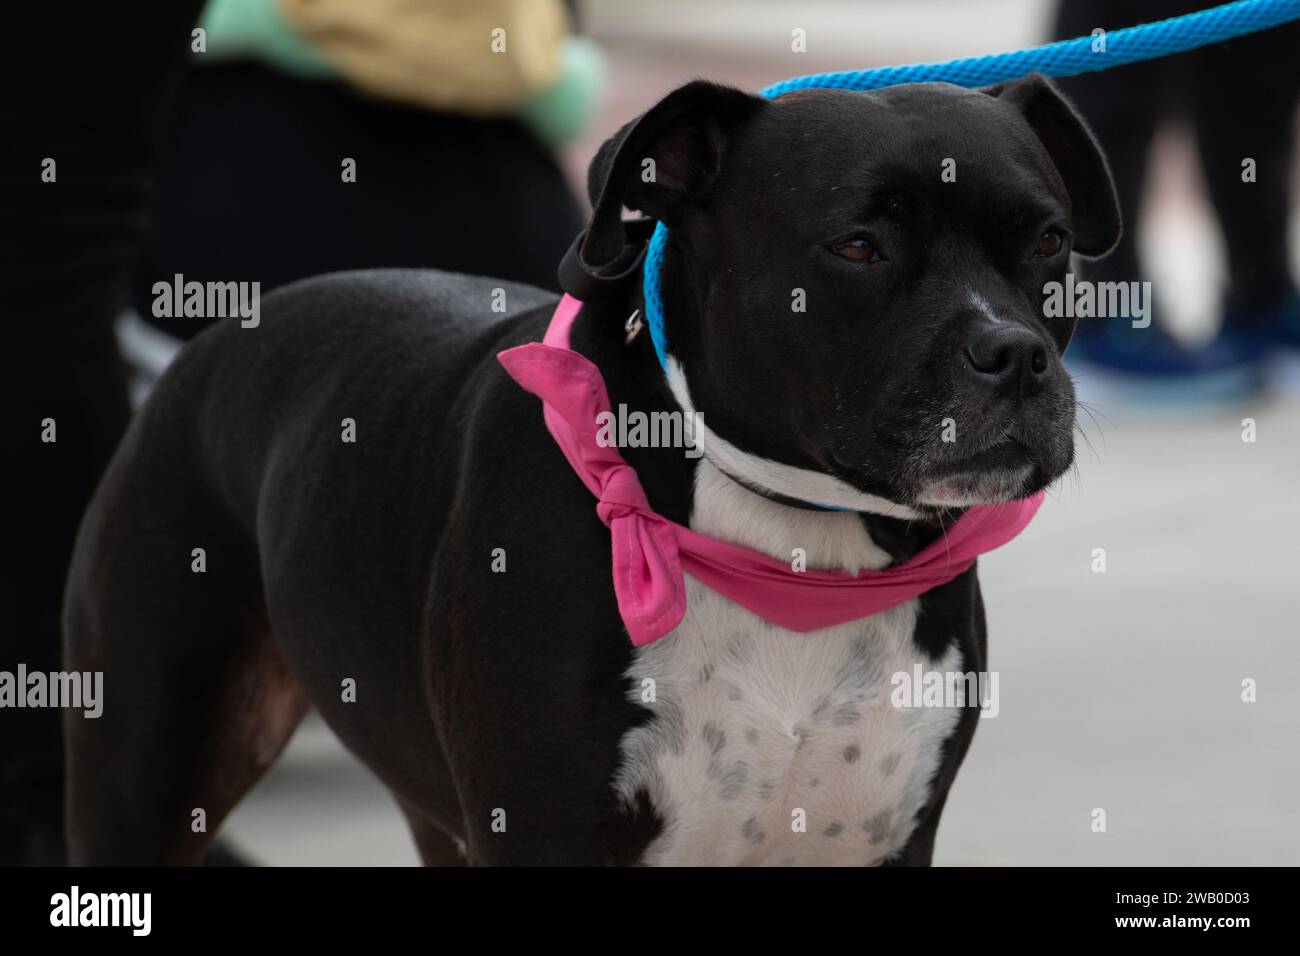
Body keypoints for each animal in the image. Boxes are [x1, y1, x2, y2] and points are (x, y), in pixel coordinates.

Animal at [63, 74, 1118, 868]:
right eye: (859, 246)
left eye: (1050, 243)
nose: (1015, 354)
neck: (789, 543)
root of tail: (212, 339)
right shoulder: (544, 834)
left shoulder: (888, 838)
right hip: (148, 773)